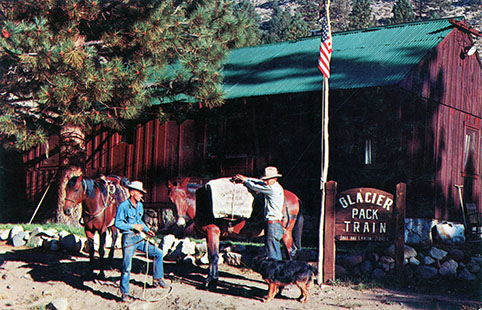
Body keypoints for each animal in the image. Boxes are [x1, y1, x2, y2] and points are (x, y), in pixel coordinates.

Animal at [169, 178, 304, 290]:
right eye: (171, 200)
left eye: (184, 197)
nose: (180, 223)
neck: (203, 203)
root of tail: (295, 197)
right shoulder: (208, 235)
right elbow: (211, 256)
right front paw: (211, 279)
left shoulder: (213, 232)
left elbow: (214, 256)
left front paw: (211, 281)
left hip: (286, 233)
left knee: (290, 251)